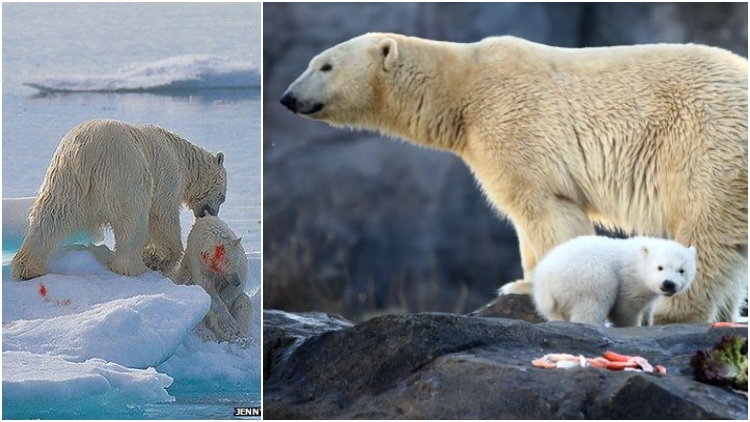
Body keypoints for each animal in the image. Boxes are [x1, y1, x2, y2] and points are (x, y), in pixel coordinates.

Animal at [11, 118, 228, 280]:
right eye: (223, 197)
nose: (209, 213)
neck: (181, 155)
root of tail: (86, 151)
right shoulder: (167, 174)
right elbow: (162, 214)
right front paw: (160, 258)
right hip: (124, 173)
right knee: (132, 220)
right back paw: (134, 267)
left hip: (64, 177)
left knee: (50, 217)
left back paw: (28, 268)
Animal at [536, 236, 700, 328]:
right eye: (660, 267)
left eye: (682, 270)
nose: (668, 284)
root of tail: (545, 279)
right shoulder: (631, 280)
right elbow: (625, 309)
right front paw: (633, 326)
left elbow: (648, 309)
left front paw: (647, 322)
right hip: (587, 277)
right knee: (595, 300)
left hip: (556, 302)